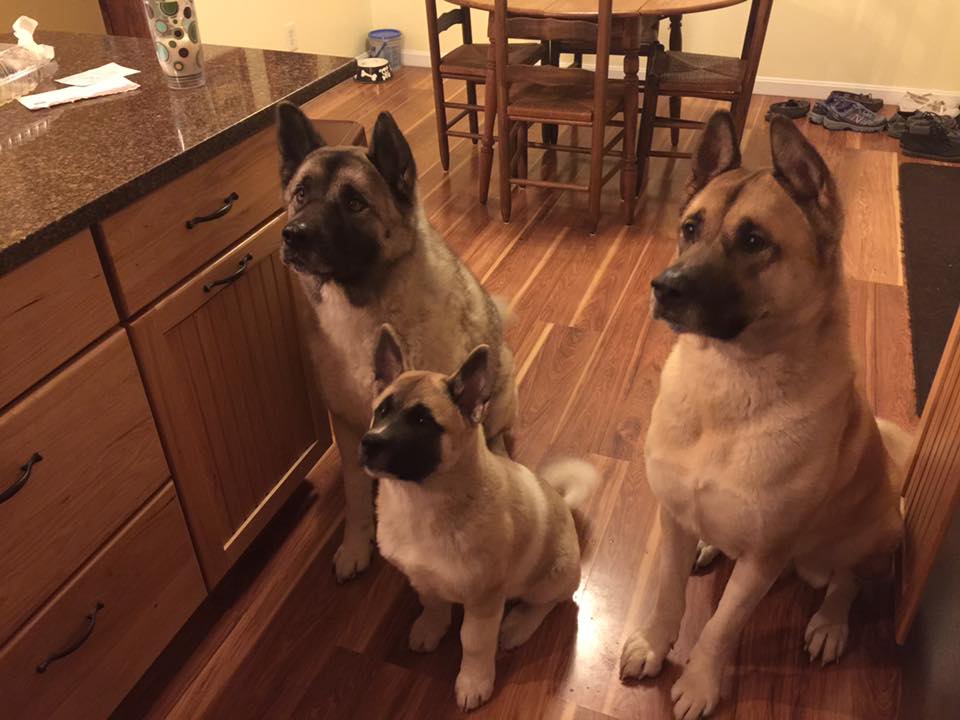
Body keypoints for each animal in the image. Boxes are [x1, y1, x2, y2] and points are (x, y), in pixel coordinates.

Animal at [274, 104, 520, 584]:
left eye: (354, 203)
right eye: (301, 194)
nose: (293, 235)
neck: (365, 307)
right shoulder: (347, 428)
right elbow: (355, 496)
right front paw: (356, 544)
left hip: (501, 390)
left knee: (497, 434)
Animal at [362, 326, 596, 708]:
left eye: (423, 421)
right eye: (382, 410)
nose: (369, 443)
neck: (420, 499)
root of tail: (562, 504)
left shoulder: (484, 600)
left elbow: (473, 642)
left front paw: (473, 682)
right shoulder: (424, 578)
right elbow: (432, 603)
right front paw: (431, 627)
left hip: (555, 574)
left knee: (550, 602)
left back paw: (517, 625)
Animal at [624, 114, 908, 720]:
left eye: (754, 242)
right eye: (690, 228)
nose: (664, 287)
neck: (728, 383)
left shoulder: (764, 556)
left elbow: (720, 627)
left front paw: (700, 685)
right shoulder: (673, 517)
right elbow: (668, 595)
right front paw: (655, 646)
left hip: (872, 533)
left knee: (847, 580)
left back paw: (829, 624)